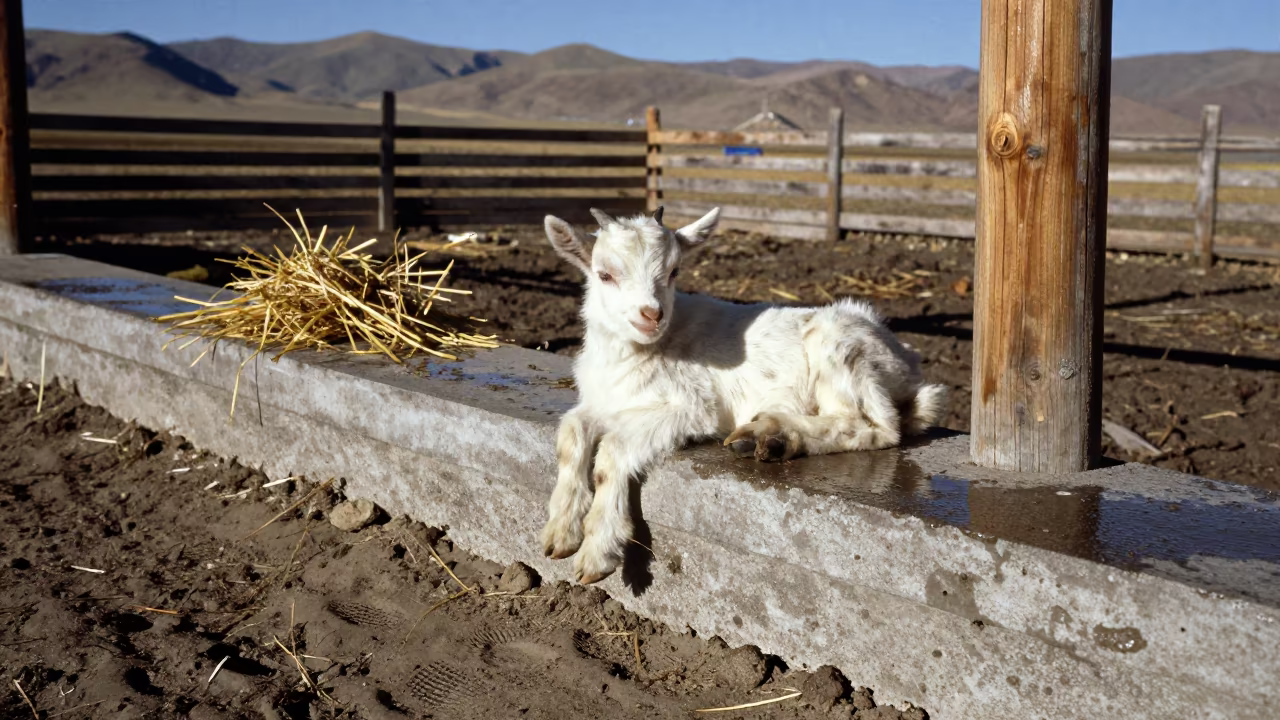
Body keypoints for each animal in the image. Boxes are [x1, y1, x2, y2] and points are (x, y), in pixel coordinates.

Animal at [541, 206, 948, 583]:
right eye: (604, 274)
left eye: (674, 272)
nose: (651, 315)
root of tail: (908, 364)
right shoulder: (603, 403)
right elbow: (570, 433)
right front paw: (560, 531)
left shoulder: (690, 407)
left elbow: (611, 452)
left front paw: (597, 550)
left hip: (841, 350)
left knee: (876, 425)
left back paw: (772, 434)